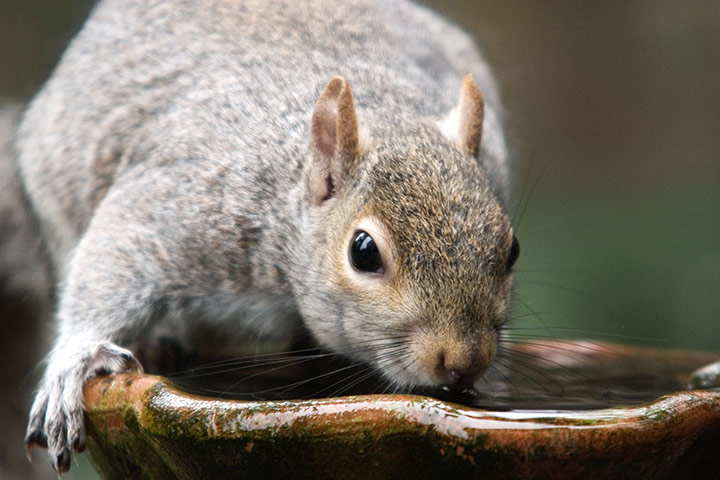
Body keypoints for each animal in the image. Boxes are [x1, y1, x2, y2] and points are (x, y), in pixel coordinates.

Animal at [18, 0, 518, 473]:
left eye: (511, 249)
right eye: (363, 252)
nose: (465, 362)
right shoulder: (186, 207)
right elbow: (116, 255)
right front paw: (76, 362)